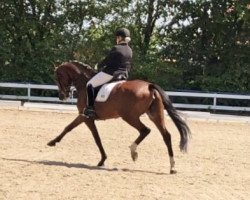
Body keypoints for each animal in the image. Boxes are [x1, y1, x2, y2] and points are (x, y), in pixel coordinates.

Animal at [47, 60, 190, 173]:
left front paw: (52, 142)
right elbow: (91, 135)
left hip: (129, 117)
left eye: (57, 77)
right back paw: (172, 167)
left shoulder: (85, 117)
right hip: (155, 115)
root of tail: (149, 86)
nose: (62, 96)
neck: (83, 83)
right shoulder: (87, 118)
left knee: (145, 130)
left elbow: (77, 131)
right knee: (166, 136)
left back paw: (133, 152)